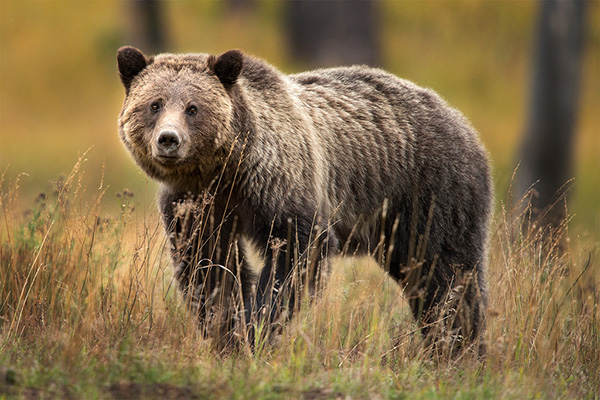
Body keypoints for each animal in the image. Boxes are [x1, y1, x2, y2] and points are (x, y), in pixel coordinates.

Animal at [116, 46, 492, 350]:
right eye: (154, 104)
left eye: (193, 108)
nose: (169, 139)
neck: (224, 172)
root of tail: (460, 119)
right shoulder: (195, 205)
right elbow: (208, 265)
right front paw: (226, 329)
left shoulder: (280, 185)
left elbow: (297, 254)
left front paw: (255, 328)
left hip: (427, 193)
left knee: (445, 274)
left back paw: (458, 346)